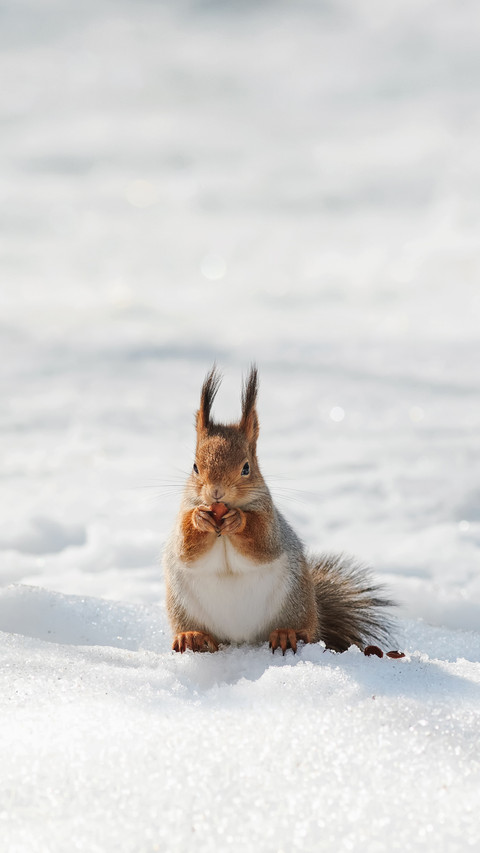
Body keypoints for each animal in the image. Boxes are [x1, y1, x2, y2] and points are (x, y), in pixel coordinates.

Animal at [163, 366, 393, 655]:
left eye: (246, 468)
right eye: (195, 467)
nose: (216, 492)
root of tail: (240, 641)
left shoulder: (270, 522)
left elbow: (262, 544)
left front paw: (238, 520)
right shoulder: (183, 515)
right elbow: (186, 549)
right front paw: (199, 519)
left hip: (297, 604)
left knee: (304, 631)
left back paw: (286, 634)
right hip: (181, 608)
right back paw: (192, 636)